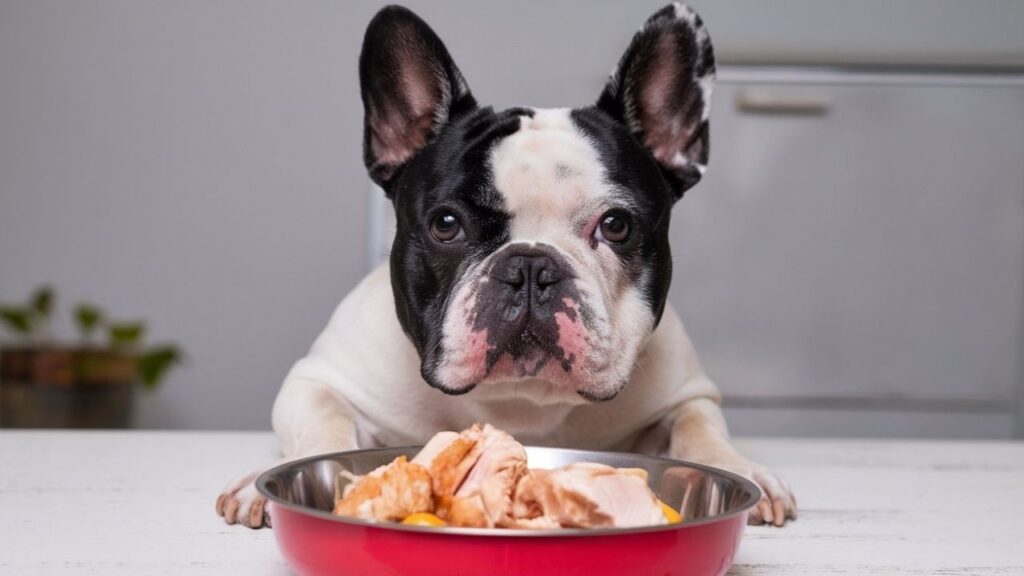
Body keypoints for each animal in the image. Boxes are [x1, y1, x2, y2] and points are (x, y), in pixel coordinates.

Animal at [216, 1, 798, 528]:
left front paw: (743, 469)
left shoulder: (687, 395)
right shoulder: (319, 381)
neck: (520, 399)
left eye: (616, 226)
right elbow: (321, 427)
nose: (530, 267)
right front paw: (260, 481)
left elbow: (701, 429)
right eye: (446, 223)